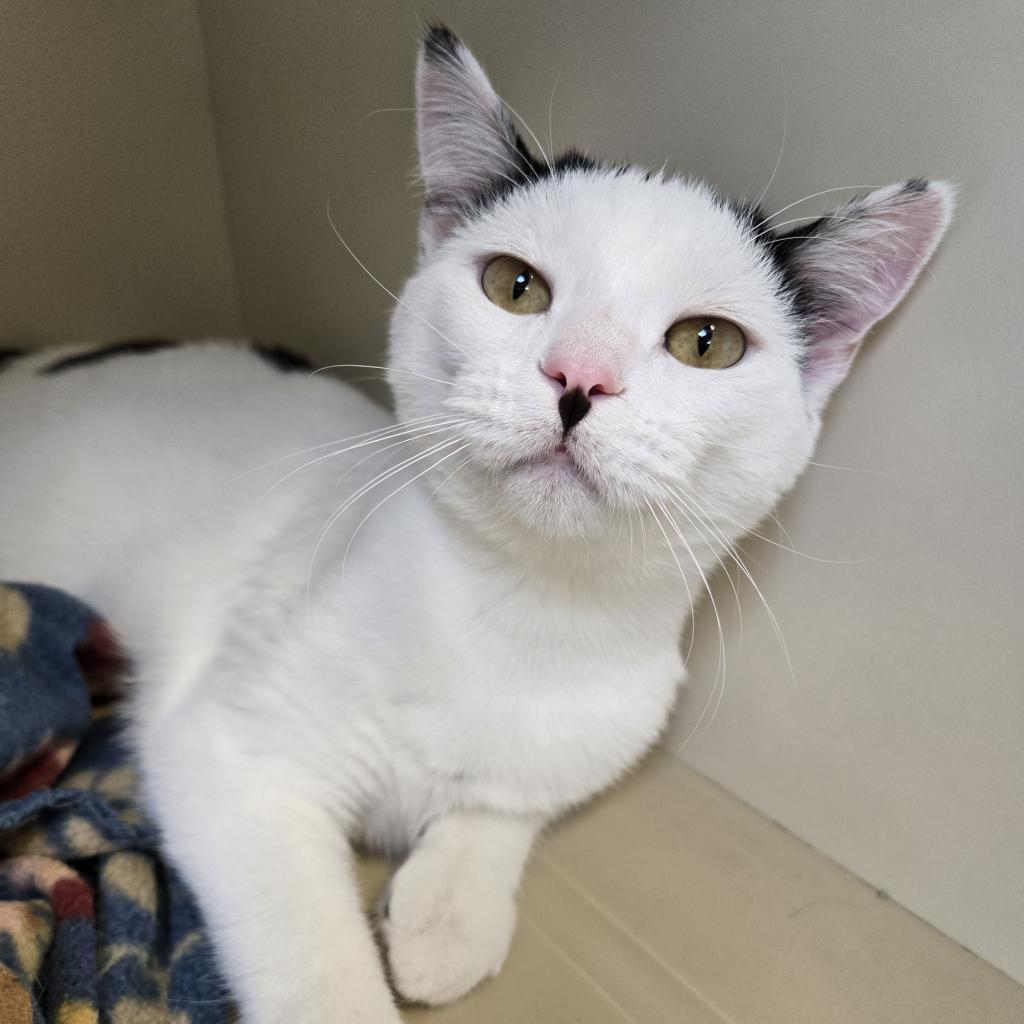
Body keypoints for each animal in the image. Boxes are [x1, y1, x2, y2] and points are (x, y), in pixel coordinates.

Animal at [0, 22, 950, 1024]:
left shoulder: (593, 736)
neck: (520, 612)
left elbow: (509, 802)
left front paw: (448, 915)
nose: (580, 376)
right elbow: (318, 966)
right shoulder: (226, 751)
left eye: (707, 343)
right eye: (515, 284)